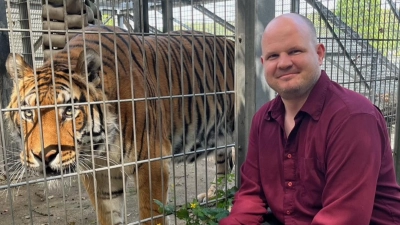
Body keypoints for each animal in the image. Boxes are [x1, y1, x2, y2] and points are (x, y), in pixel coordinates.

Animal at [4, 25, 236, 224]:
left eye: (69, 111)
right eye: (28, 113)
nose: (44, 156)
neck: (100, 145)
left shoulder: (152, 163)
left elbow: (152, 215)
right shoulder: (99, 173)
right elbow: (108, 215)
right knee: (224, 164)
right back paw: (216, 195)